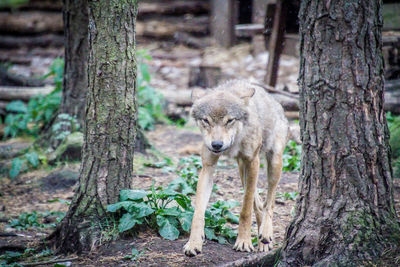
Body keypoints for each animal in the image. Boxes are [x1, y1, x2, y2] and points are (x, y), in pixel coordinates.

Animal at [183, 80, 290, 258]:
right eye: (206, 120)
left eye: (230, 120)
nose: (216, 145)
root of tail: (273, 100)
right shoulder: (208, 167)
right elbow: (198, 212)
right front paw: (194, 242)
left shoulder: (253, 161)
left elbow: (245, 210)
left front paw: (244, 242)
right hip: (242, 169)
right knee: (258, 202)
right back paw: (263, 240)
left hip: (274, 163)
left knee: (270, 200)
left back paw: (266, 234)